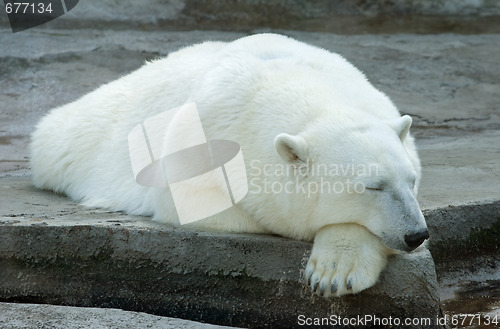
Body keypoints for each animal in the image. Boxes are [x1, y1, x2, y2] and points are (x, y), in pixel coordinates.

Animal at [31, 34, 430, 298]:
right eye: (372, 186)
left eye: (411, 181)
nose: (417, 234)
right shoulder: (204, 141)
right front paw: (335, 270)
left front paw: (337, 270)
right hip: (86, 134)